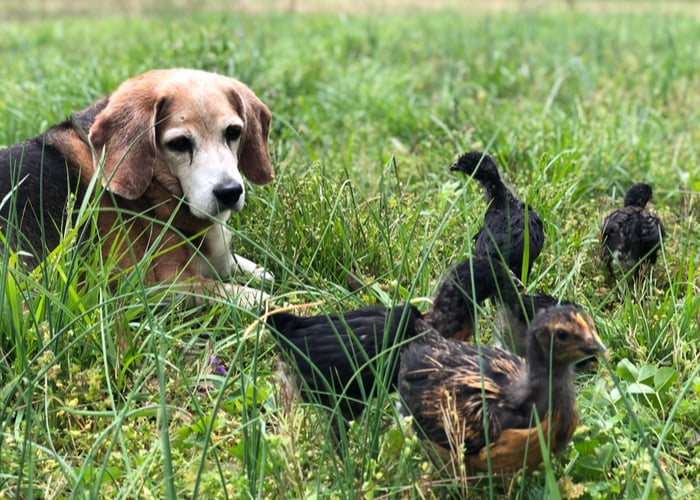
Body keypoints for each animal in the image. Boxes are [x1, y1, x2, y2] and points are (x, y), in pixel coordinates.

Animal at [0, 69, 274, 306]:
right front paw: (274, 302)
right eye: (179, 143)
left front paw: (263, 271)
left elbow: (244, 265)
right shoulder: (162, 286)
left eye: (233, 132)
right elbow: (236, 294)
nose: (230, 192)